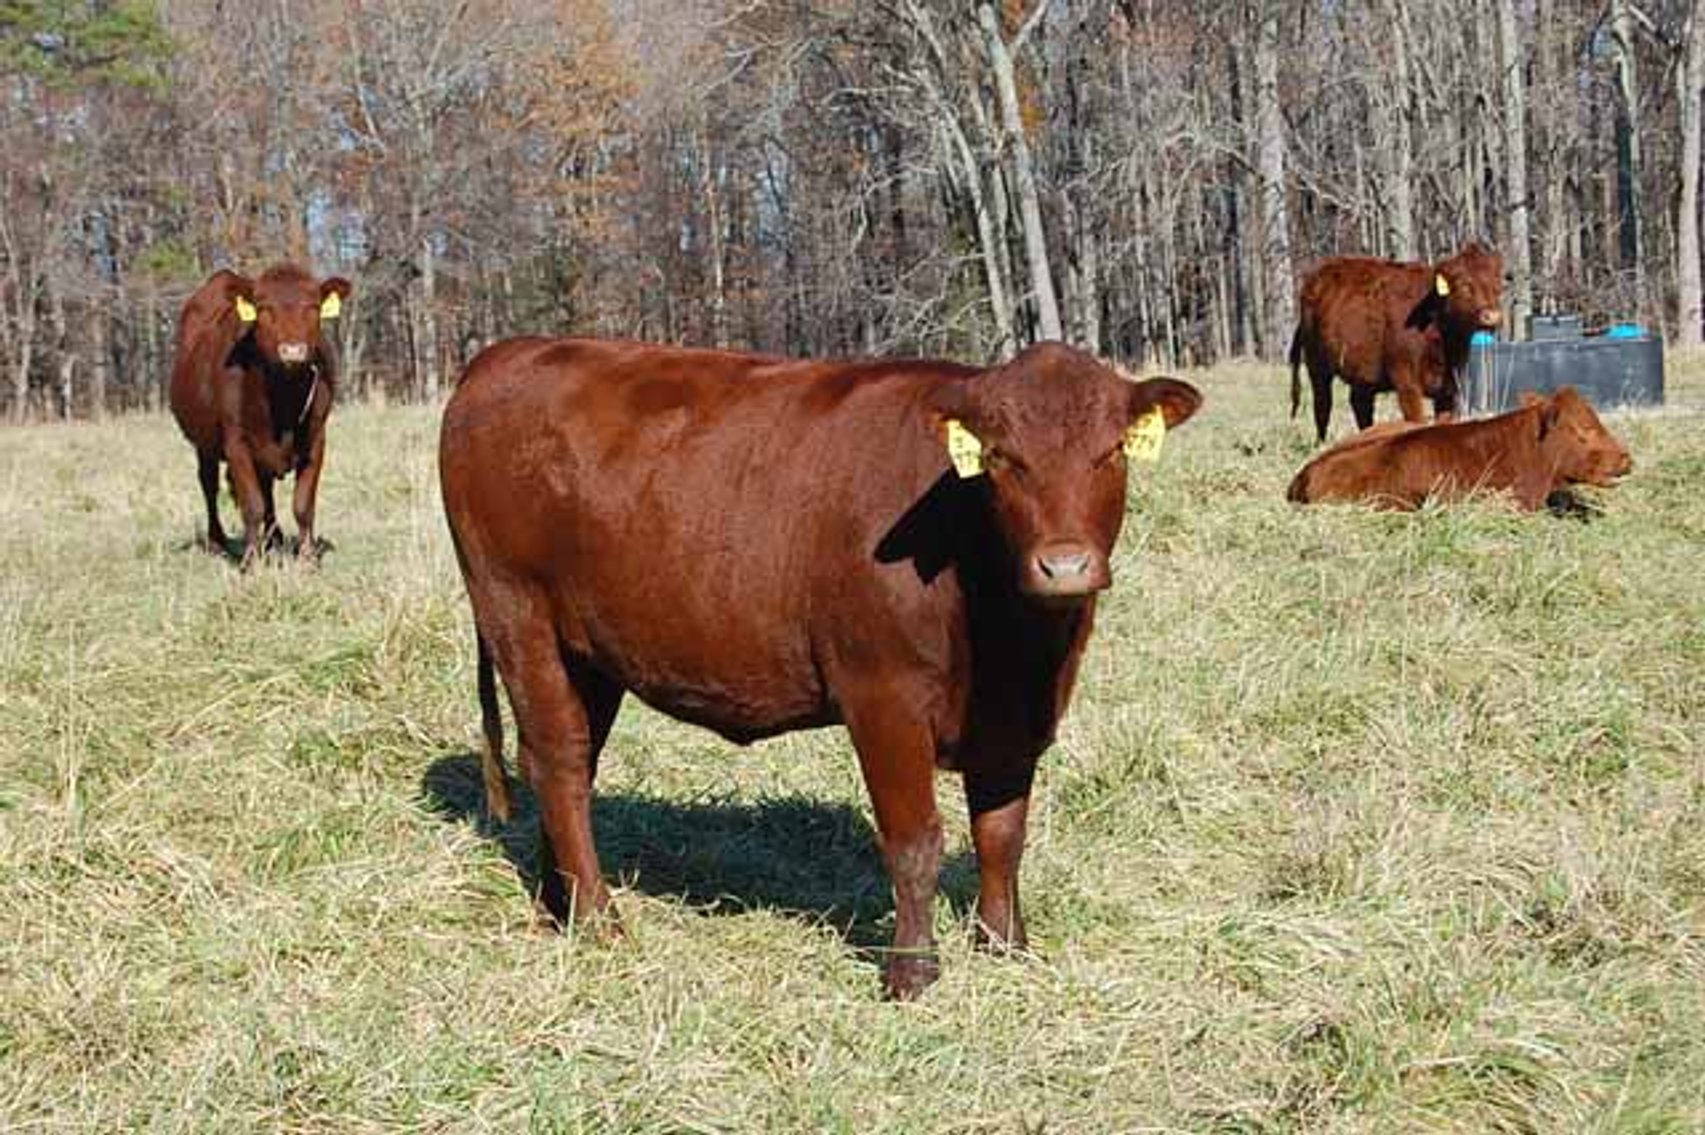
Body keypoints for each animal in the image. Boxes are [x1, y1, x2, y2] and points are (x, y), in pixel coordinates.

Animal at [169, 265, 352, 567]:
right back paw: (218, 540)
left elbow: (303, 504)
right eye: (264, 308)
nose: (293, 350)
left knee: (266, 489)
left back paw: (274, 538)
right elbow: (252, 504)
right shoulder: (237, 443)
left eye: (313, 307)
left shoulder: (316, 440)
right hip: (203, 442)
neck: (283, 399)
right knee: (209, 485)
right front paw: (251, 562)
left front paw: (307, 559)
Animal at [439, 338, 1202, 999]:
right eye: (1000, 457)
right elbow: (914, 839)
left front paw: (1006, 948)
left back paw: (557, 910)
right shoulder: (883, 695)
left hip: (587, 653)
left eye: (1112, 452)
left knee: (560, 760)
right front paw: (911, 974)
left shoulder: (1019, 714)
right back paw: (602, 924)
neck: (1009, 638)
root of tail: (508, 352)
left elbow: (1002, 834)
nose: (1063, 566)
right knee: (560, 764)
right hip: (516, 613)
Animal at [1288, 243, 1505, 442]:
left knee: (1361, 405)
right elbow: (1416, 422)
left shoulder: (1448, 388)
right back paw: (1322, 443)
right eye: (1464, 286)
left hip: (1363, 372)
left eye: (1498, 287)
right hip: (1316, 364)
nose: (1492, 316)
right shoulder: (1407, 383)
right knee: (1322, 404)